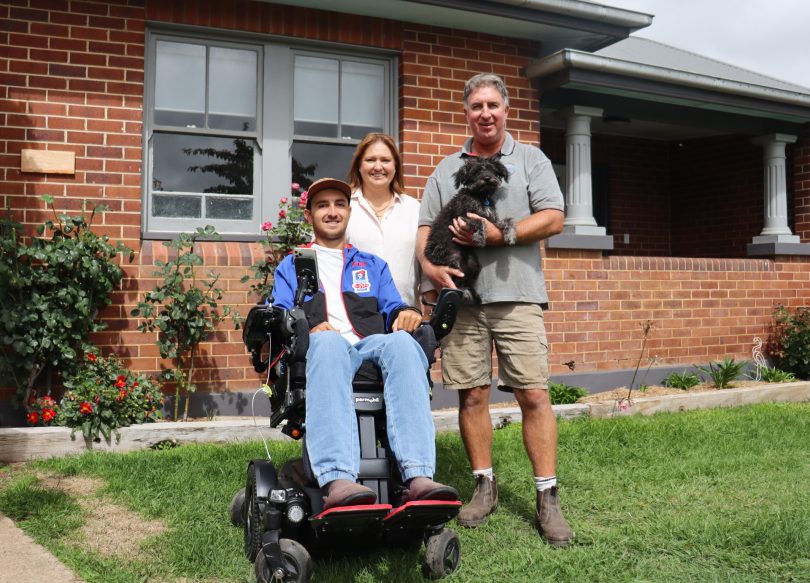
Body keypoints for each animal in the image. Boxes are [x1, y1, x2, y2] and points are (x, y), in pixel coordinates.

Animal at [420, 154, 516, 306]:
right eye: (476, 172)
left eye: (492, 169)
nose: (487, 178)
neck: (481, 197)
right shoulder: (463, 217)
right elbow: (479, 221)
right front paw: (480, 238)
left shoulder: (493, 220)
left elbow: (508, 221)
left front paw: (510, 235)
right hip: (452, 259)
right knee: (456, 281)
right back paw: (464, 293)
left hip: (473, 264)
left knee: (466, 280)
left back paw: (473, 294)